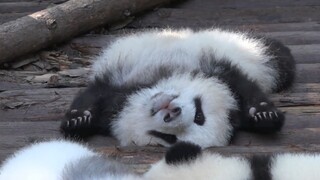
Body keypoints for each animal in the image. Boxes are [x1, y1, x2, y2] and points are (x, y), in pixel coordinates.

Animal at [60, 28, 296, 148]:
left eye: (169, 138)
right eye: (199, 114)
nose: (172, 112)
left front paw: (263, 116)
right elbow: (95, 94)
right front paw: (78, 119)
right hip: (242, 48)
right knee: (277, 55)